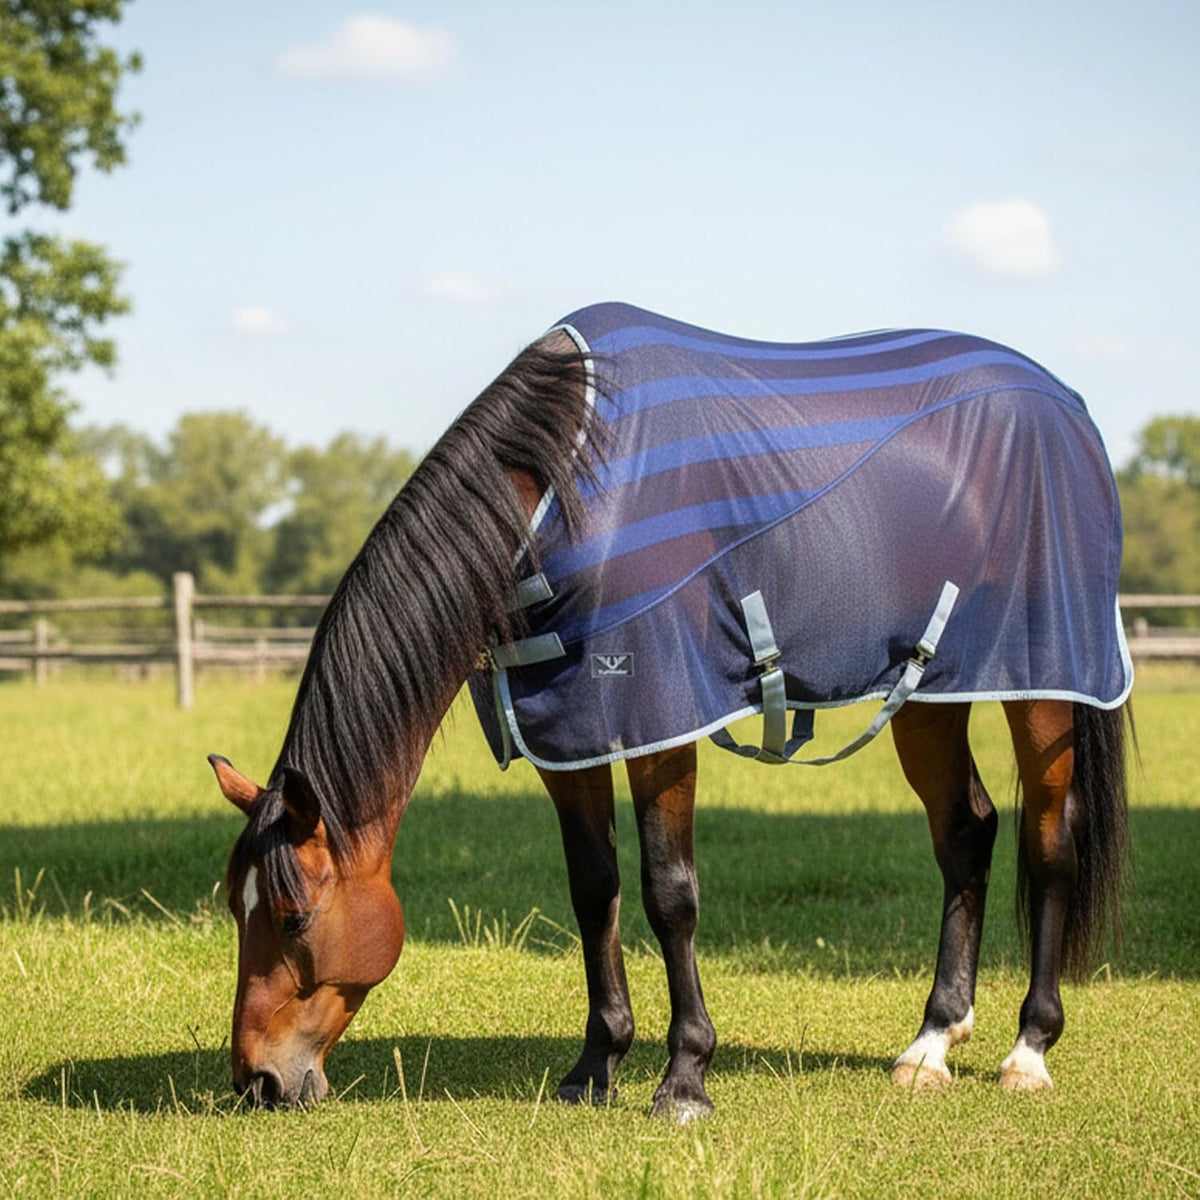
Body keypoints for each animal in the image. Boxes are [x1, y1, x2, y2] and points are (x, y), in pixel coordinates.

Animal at [210, 302, 1132, 1119]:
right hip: (930, 692)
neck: (564, 495)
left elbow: (669, 894)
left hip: (1047, 686)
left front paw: (684, 1077)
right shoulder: (570, 734)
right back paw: (933, 1042)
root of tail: (1067, 403)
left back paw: (1028, 1052)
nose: (258, 1082)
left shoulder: (660, 723)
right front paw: (595, 1066)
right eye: (233, 907)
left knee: (1050, 842)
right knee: (966, 831)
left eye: (293, 916)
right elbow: (595, 891)